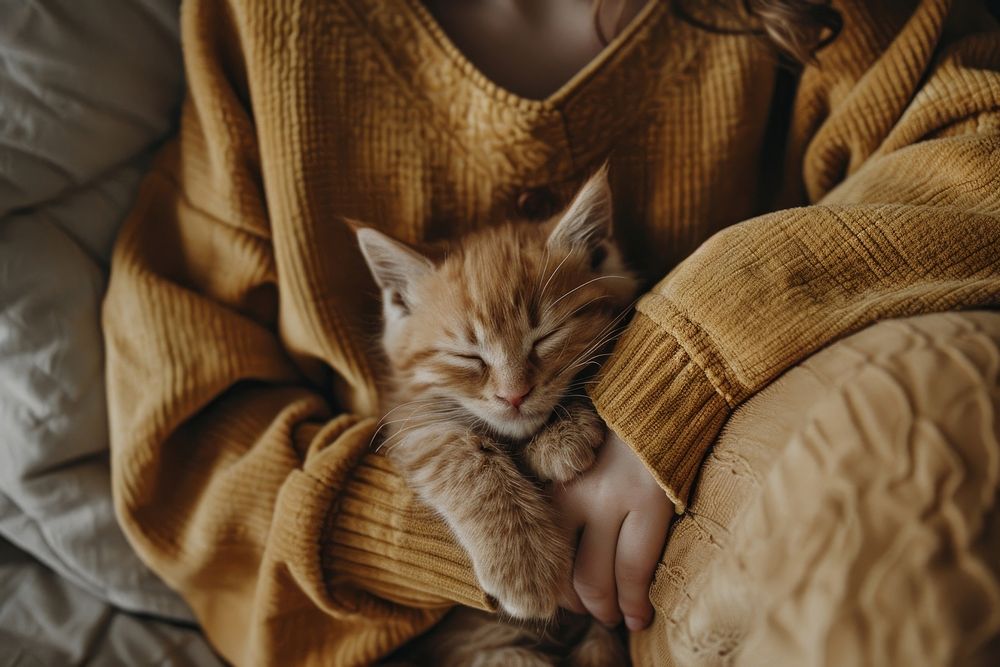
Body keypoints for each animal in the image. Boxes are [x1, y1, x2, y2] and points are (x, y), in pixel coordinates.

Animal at [360, 166, 636, 664]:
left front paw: (561, 438)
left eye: (545, 337)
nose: (514, 395)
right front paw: (523, 558)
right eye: (468, 356)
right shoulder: (406, 421)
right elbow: (458, 454)